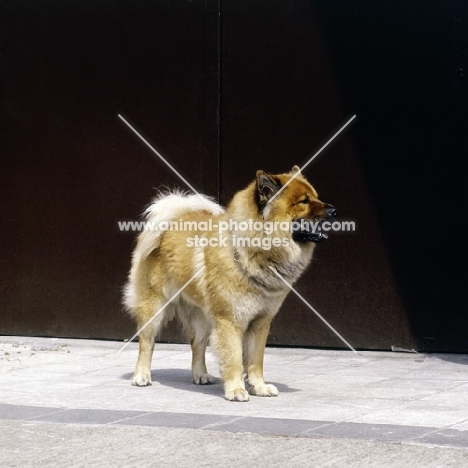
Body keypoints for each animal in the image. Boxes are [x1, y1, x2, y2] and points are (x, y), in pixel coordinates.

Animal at [123, 166, 336, 400]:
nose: (334, 210)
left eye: (316, 197)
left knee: (197, 344)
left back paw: (201, 375)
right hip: (155, 306)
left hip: (201, 316)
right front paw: (236, 390)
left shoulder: (260, 323)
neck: (252, 252)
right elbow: (233, 358)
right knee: (147, 342)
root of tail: (172, 219)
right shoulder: (230, 321)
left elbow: (255, 360)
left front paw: (259, 387)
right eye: (304, 201)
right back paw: (141, 376)